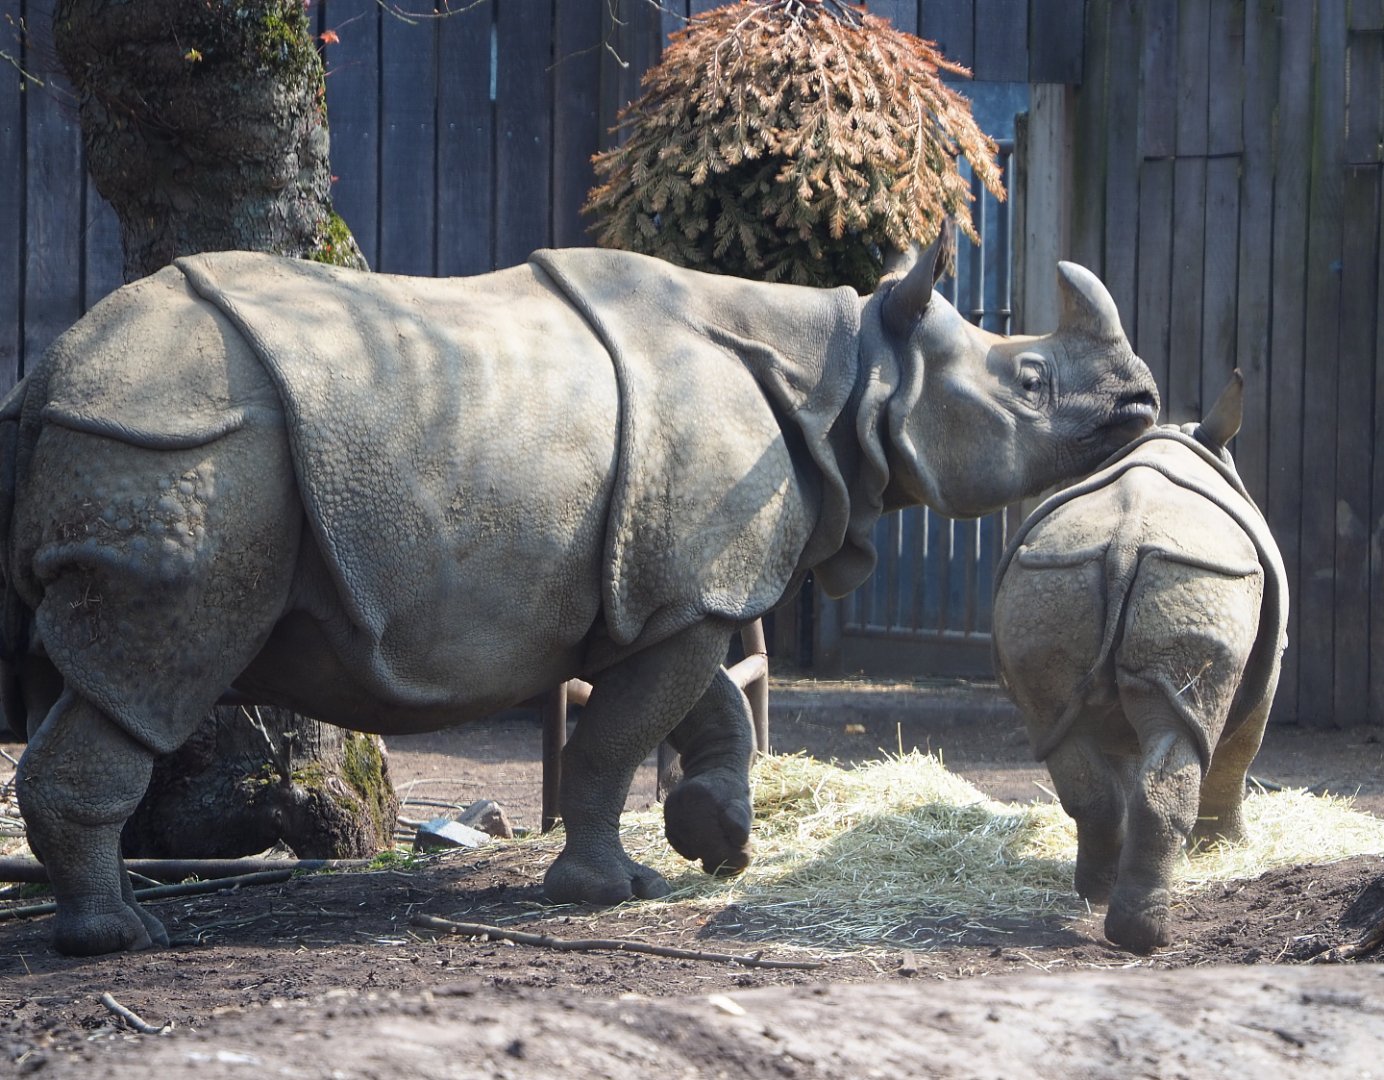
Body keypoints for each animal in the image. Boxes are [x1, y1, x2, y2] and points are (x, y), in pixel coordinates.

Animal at [0, 239, 1158, 956]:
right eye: (1030, 383)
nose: (1143, 400)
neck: (855, 371)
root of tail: (51, 370)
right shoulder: (696, 587)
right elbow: (617, 738)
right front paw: (608, 893)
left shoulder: (668, 589)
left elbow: (701, 709)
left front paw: (715, 840)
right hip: (184, 442)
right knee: (156, 671)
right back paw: (120, 940)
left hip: (148, 436)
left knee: (95, 671)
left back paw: (104, 922)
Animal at [991, 372, 1287, 953]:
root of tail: (1126, 542)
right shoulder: (1266, 675)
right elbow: (1240, 750)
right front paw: (1228, 847)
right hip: (1203, 575)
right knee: (1190, 735)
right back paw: (1145, 933)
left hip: (1054, 578)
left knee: (1061, 733)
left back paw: (1102, 900)